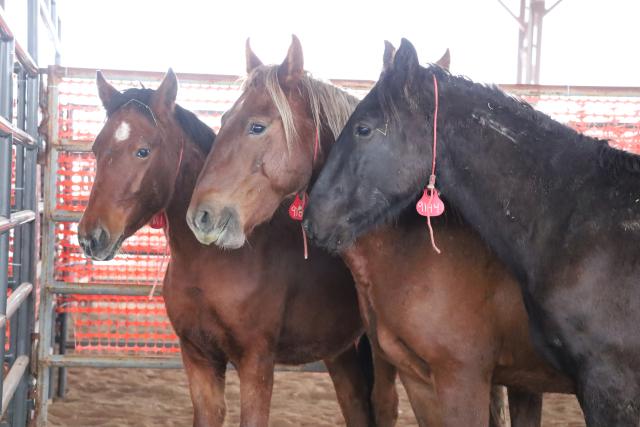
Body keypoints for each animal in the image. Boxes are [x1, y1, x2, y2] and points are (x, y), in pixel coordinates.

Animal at [79, 71, 380, 427]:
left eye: (143, 151)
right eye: (97, 149)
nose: (91, 236)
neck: (211, 261)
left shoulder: (256, 362)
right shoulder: (198, 357)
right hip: (342, 351)